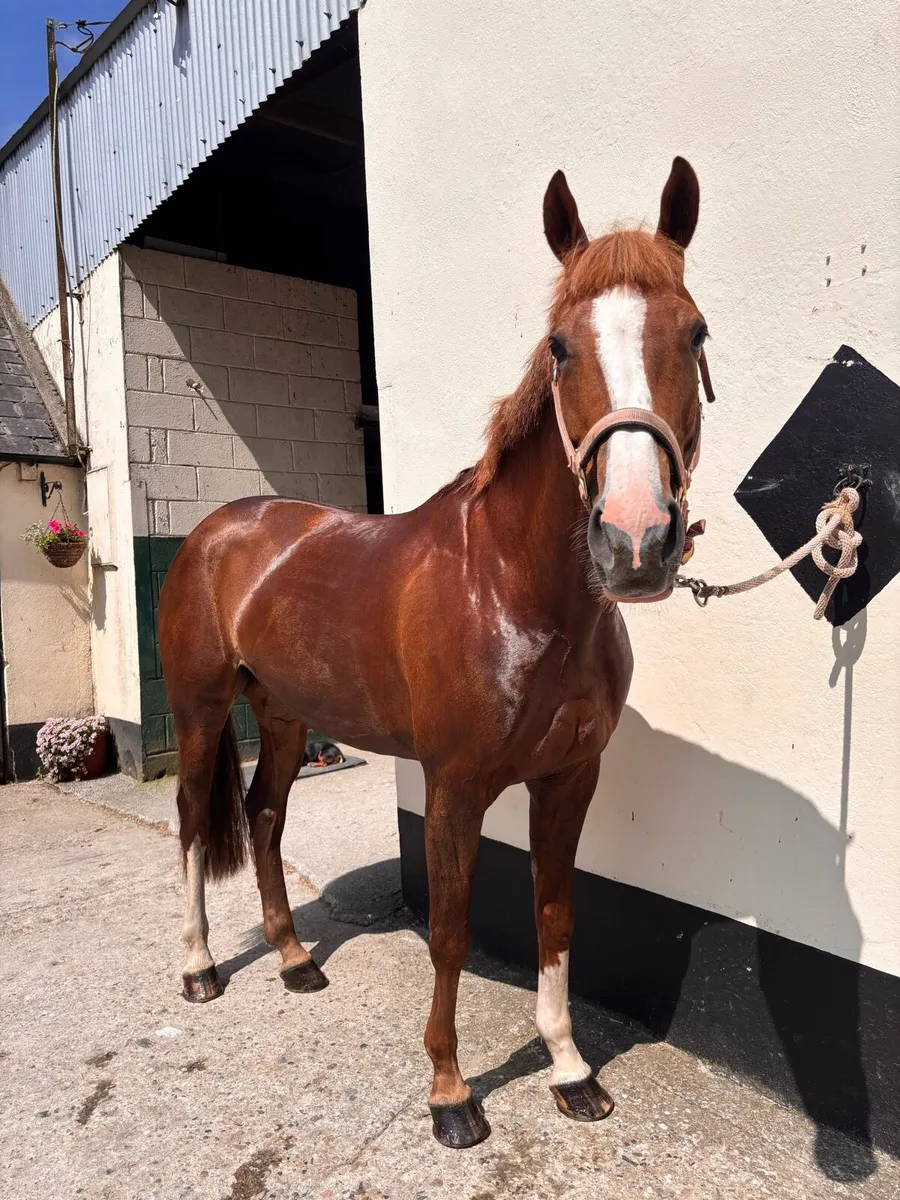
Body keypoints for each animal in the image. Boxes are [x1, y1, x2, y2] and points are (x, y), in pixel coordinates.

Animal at [158, 156, 712, 1149]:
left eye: (695, 333)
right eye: (560, 347)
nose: (636, 540)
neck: (514, 589)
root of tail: (218, 532)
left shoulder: (569, 779)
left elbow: (556, 915)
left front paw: (569, 1071)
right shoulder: (453, 787)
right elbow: (452, 931)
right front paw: (451, 1093)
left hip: (286, 717)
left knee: (264, 818)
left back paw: (295, 958)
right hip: (201, 709)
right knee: (191, 821)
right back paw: (199, 966)